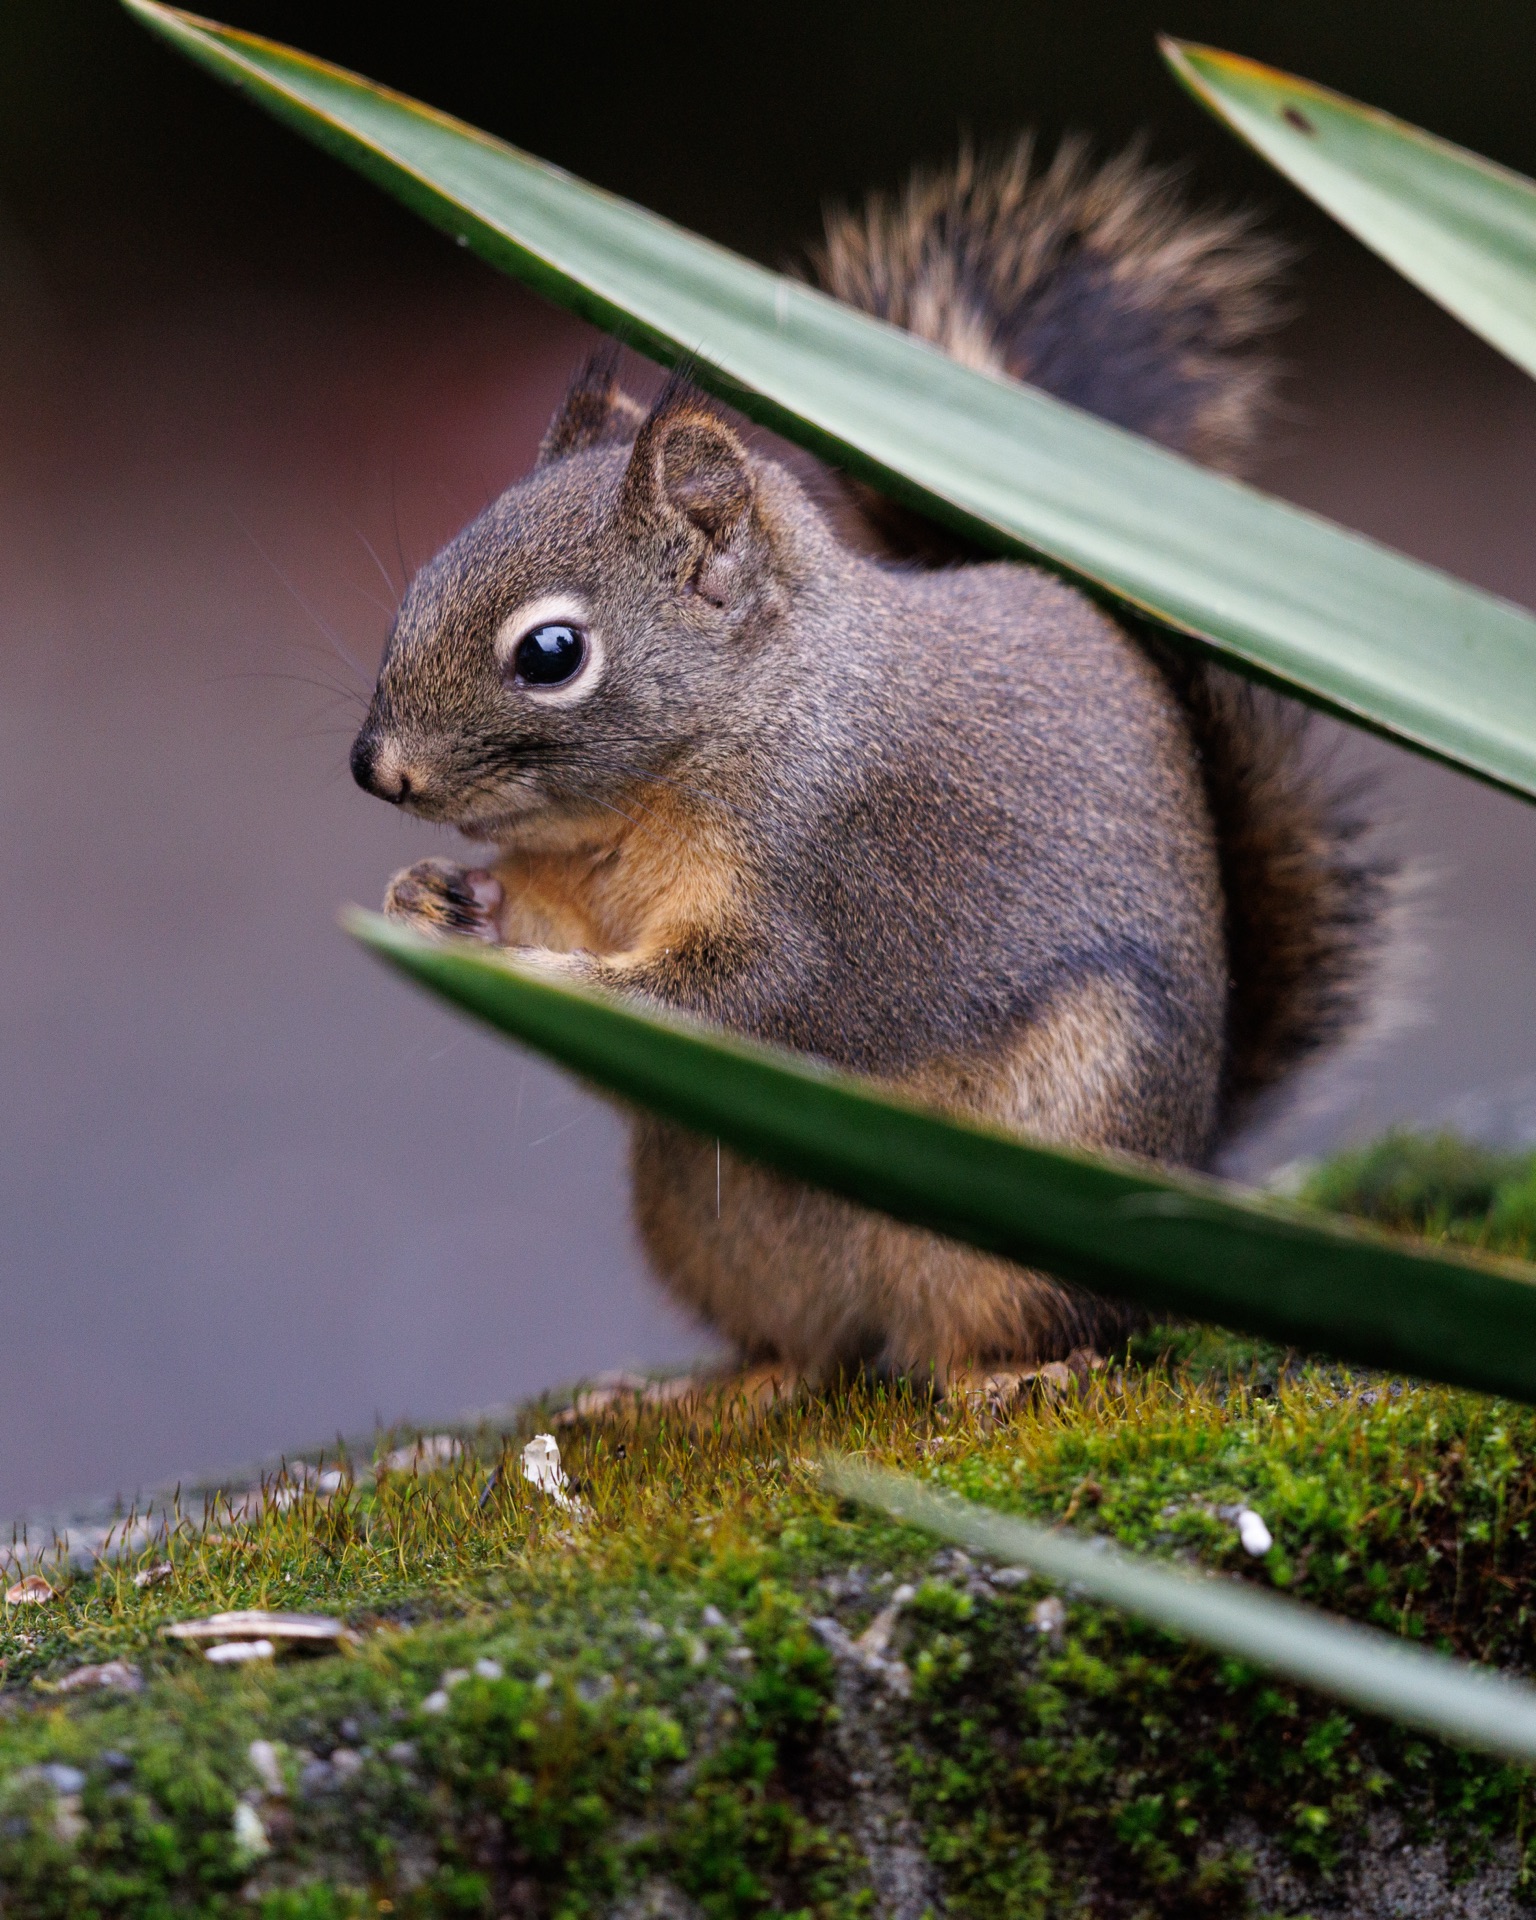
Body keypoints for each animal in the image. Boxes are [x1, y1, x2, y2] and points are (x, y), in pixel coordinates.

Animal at [349, 137, 1388, 1391]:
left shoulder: (823, 880)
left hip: (1037, 1191)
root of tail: (1192, 1163)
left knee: (1025, 1321)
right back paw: (722, 1390)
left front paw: (543, 975)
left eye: (551, 653)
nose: (375, 769)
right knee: (812, 1344)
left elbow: (737, 999)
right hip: (703, 1217)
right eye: (427, 574)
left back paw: (1009, 1377)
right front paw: (439, 898)